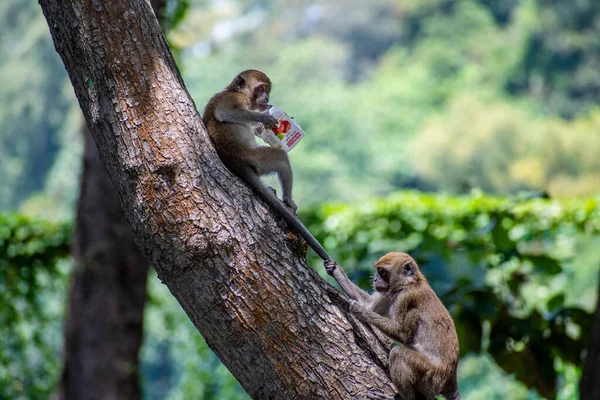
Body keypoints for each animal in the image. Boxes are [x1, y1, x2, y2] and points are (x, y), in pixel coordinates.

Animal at [204, 70, 330, 260]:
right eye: (261, 88)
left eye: (268, 89)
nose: (266, 97)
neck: (238, 92)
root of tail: (235, 161)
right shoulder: (235, 100)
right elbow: (224, 113)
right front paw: (265, 119)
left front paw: (260, 128)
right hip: (257, 159)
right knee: (281, 157)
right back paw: (288, 200)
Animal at [324, 253, 460, 400]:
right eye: (378, 271)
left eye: (383, 272)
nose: (376, 279)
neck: (409, 284)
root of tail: (451, 378)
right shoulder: (390, 293)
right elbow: (371, 306)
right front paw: (335, 270)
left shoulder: (406, 299)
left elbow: (403, 334)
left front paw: (360, 310)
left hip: (431, 378)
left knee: (397, 354)